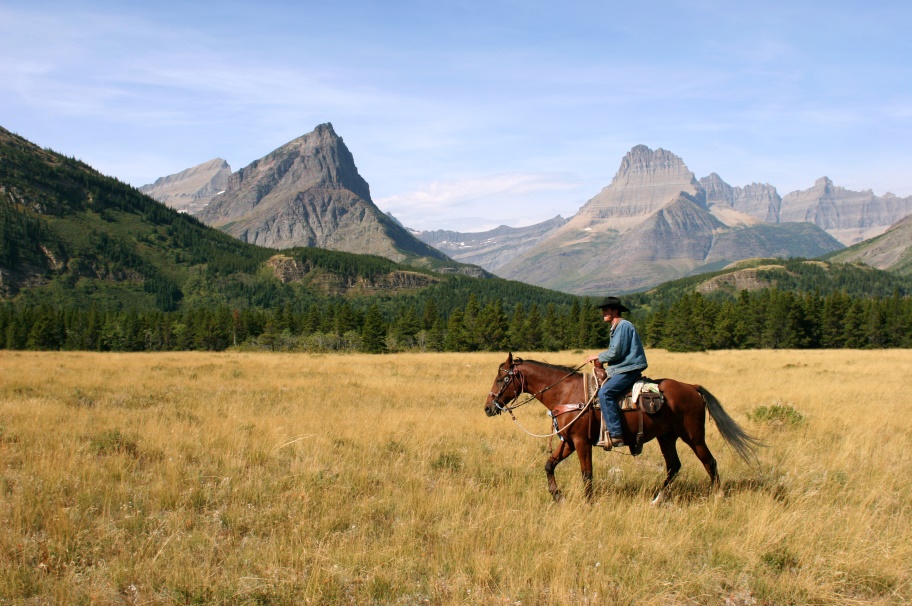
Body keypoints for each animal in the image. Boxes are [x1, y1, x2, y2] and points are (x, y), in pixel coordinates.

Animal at [484, 352, 764, 504]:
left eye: (501, 377)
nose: (488, 407)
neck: (565, 393)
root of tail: (692, 387)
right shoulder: (569, 442)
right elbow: (549, 465)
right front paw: (558, 496)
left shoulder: (582, 442)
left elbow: (587, 474)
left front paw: (588, 503)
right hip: (667, 437)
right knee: (673, 466)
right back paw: (657, 499)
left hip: (693, 436)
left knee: (710, 462)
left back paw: (717, 496)